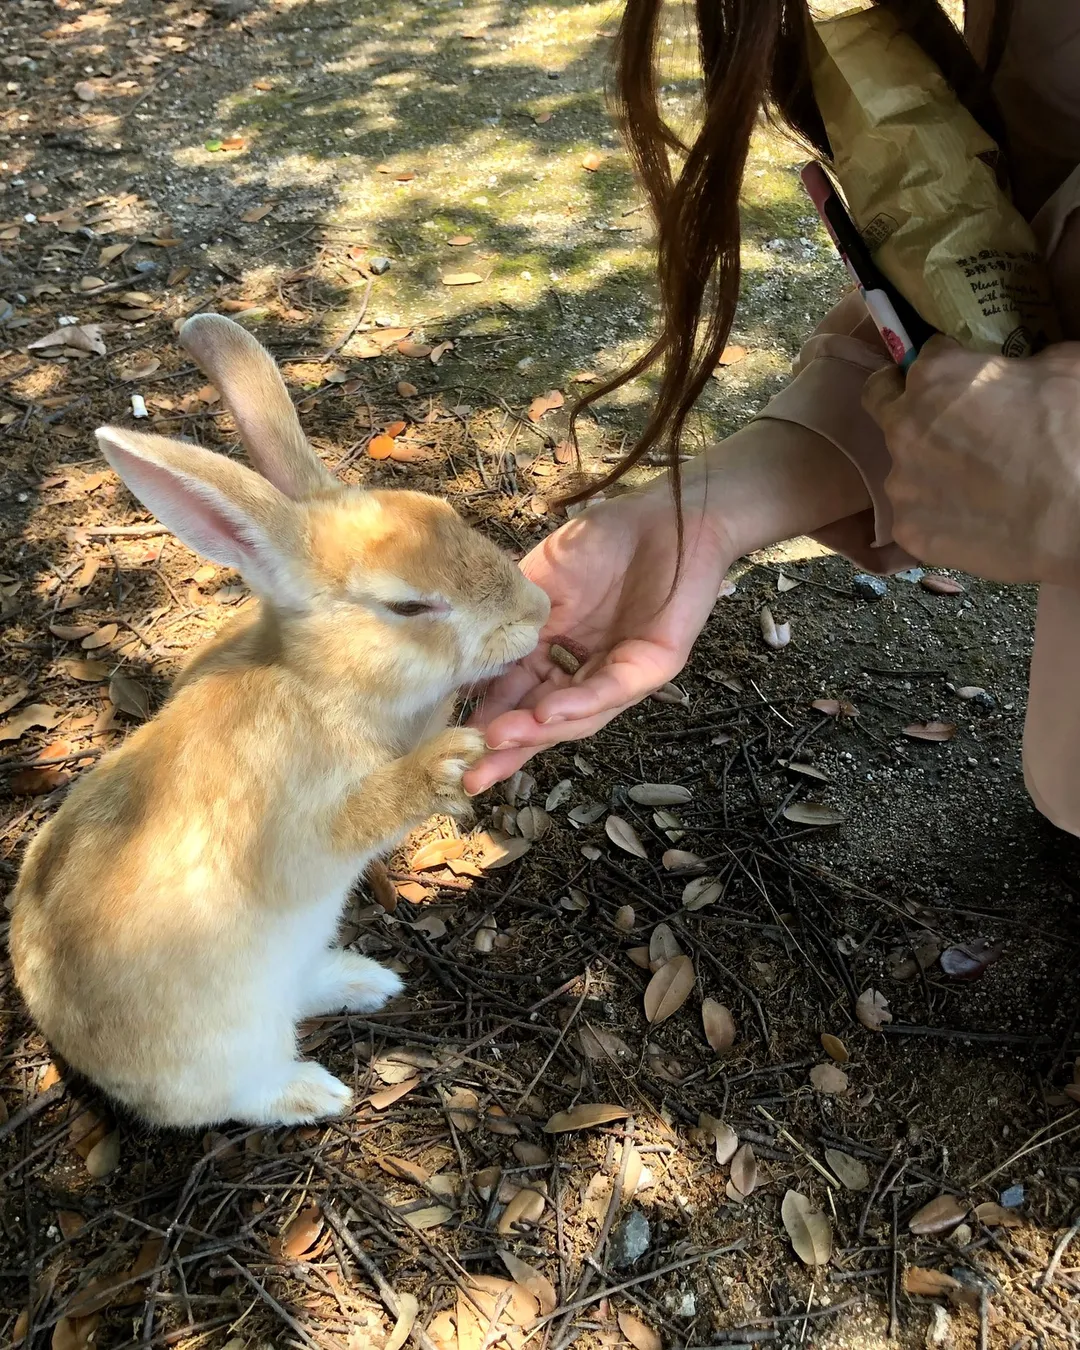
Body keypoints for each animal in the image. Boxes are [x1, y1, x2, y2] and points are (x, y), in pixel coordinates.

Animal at [8, 313, 548, 1128]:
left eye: (442, 513)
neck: (318, 680)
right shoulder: (295, 833)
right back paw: (315, 1090)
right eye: (408, 606)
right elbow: (354, 820)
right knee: (247, 1090)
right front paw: (446, 764)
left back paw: (366, 982)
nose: (537, 613)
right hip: (235, 1046)